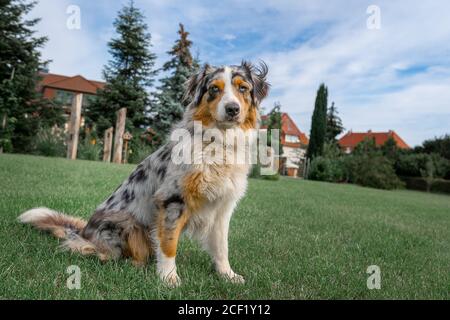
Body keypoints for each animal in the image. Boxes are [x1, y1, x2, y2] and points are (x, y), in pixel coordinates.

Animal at [18, 60, 268, 288]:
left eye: (243, 88)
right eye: (214, 89)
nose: (233, 109)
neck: (219, 143)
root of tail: (84, 231)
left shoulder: (223, 207)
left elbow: (221, 246)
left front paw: (228, 275)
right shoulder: (172, 200)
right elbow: (168, 244)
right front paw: (169, 278)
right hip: (127, 226)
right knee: (94, 250)